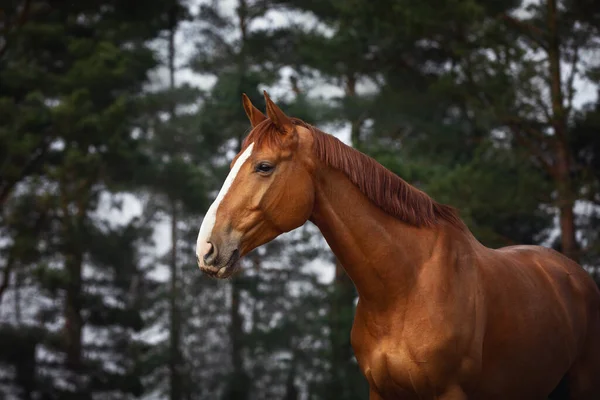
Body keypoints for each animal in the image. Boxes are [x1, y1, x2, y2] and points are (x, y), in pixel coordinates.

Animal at [196, 92, 600, 398]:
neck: (405, 287)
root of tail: (575, 274)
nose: (206, 248)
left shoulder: (449, 392)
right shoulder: (381, 391)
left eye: (264, 166)